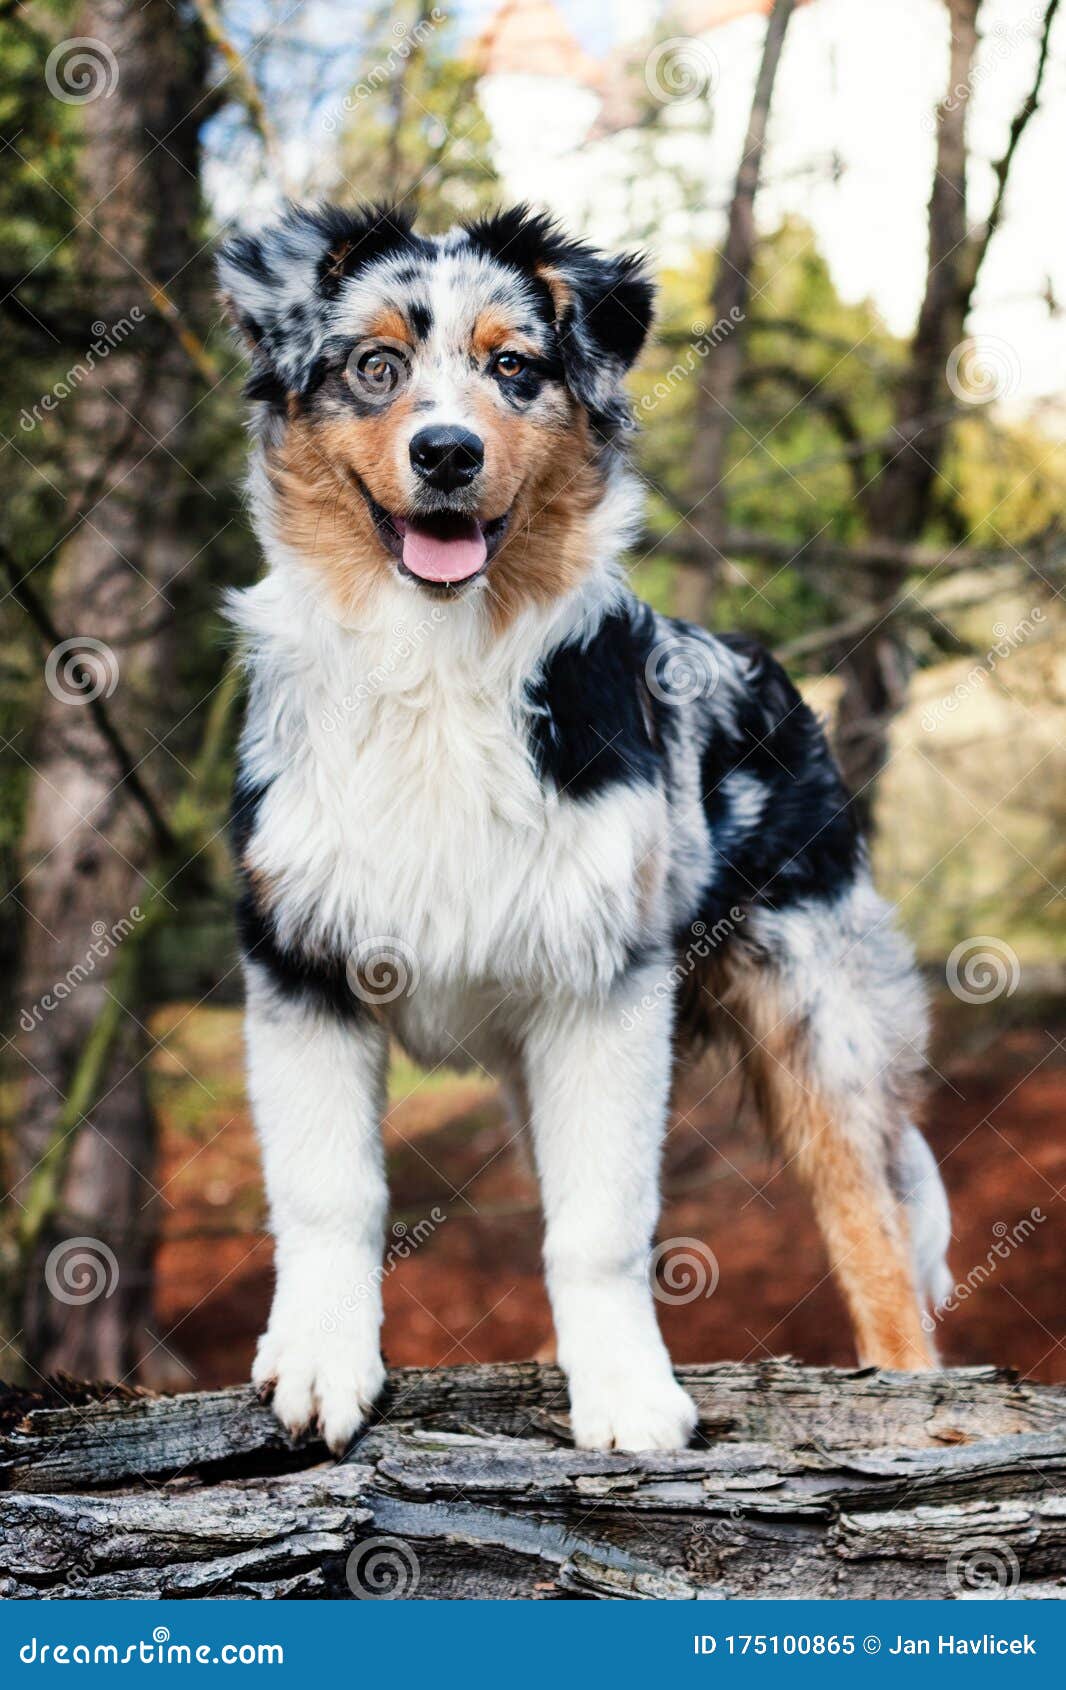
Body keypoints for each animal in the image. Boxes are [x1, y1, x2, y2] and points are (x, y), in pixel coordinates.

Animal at [216, 204, 952, 1453]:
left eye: (516, 368)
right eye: (374, 367)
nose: (448, 453)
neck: (438, 663)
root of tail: (771, 677)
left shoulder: (602, 988)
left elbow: (601, 1218)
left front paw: (626, 1395)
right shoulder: (299, 958)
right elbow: (330, 1189)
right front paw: (319, 1358)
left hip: (824, 1021)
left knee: (876, 1231)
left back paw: (909, 1395)